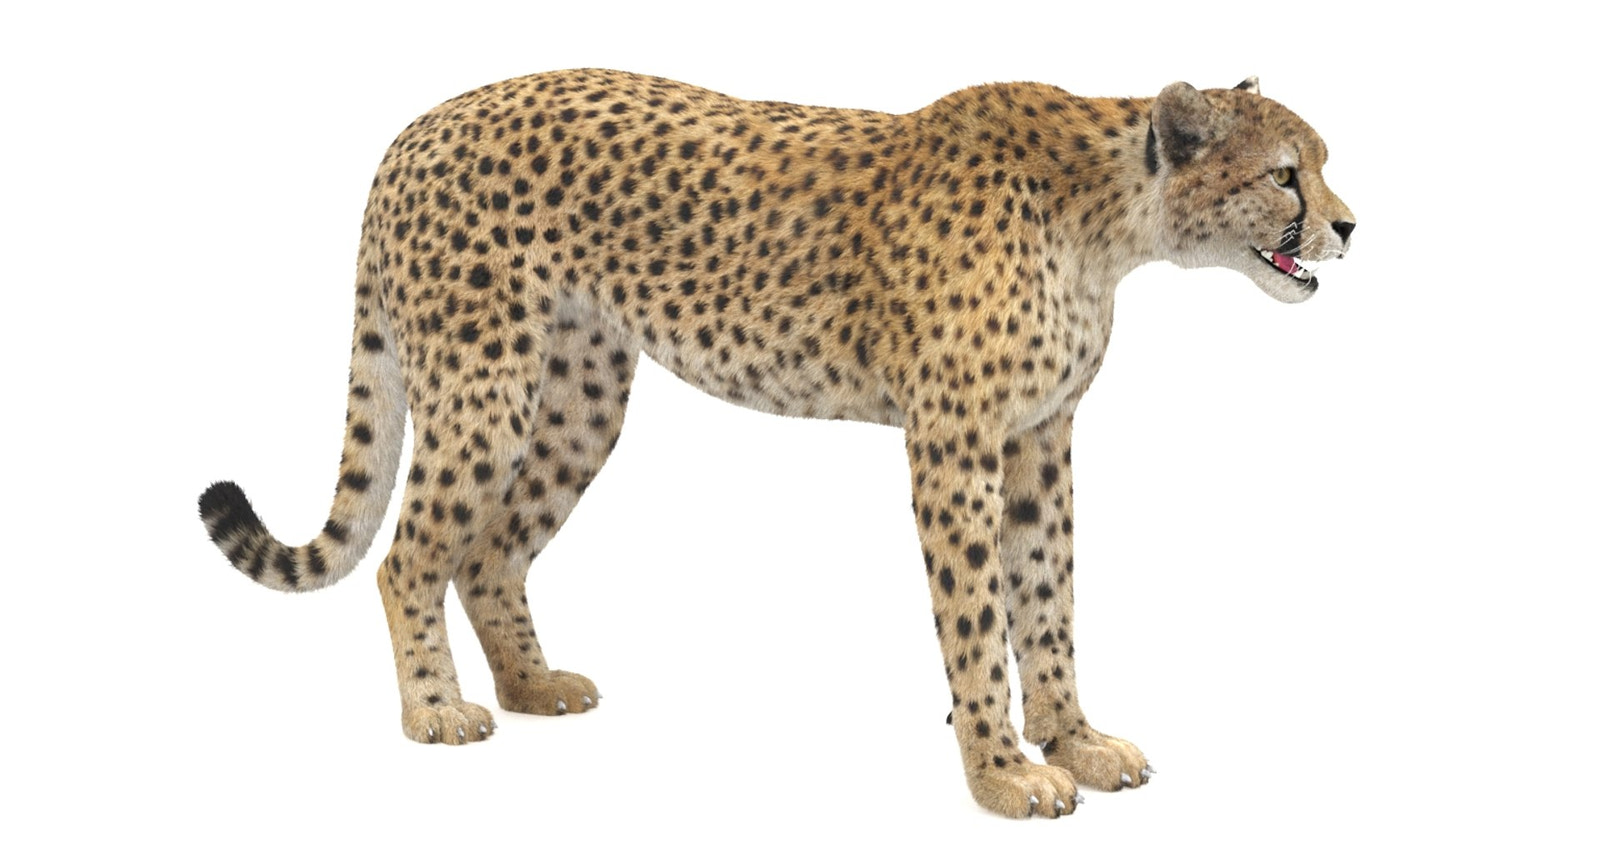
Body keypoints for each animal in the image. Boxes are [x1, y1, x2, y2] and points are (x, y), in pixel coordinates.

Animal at [198, 69, 1354, 819]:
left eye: (1318, 167)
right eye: (1285, 174)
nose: (1349, 226)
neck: (1110, 219)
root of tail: (420, 123)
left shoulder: (1038, 439)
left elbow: (1048, 600)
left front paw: (1074, 738)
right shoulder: (953, 440)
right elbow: (978, 615)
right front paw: (1001, 771)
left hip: (581, 396)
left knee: (487, 550)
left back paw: (533, 686)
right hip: (483, 386)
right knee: (406, 555)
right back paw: (439, 711)